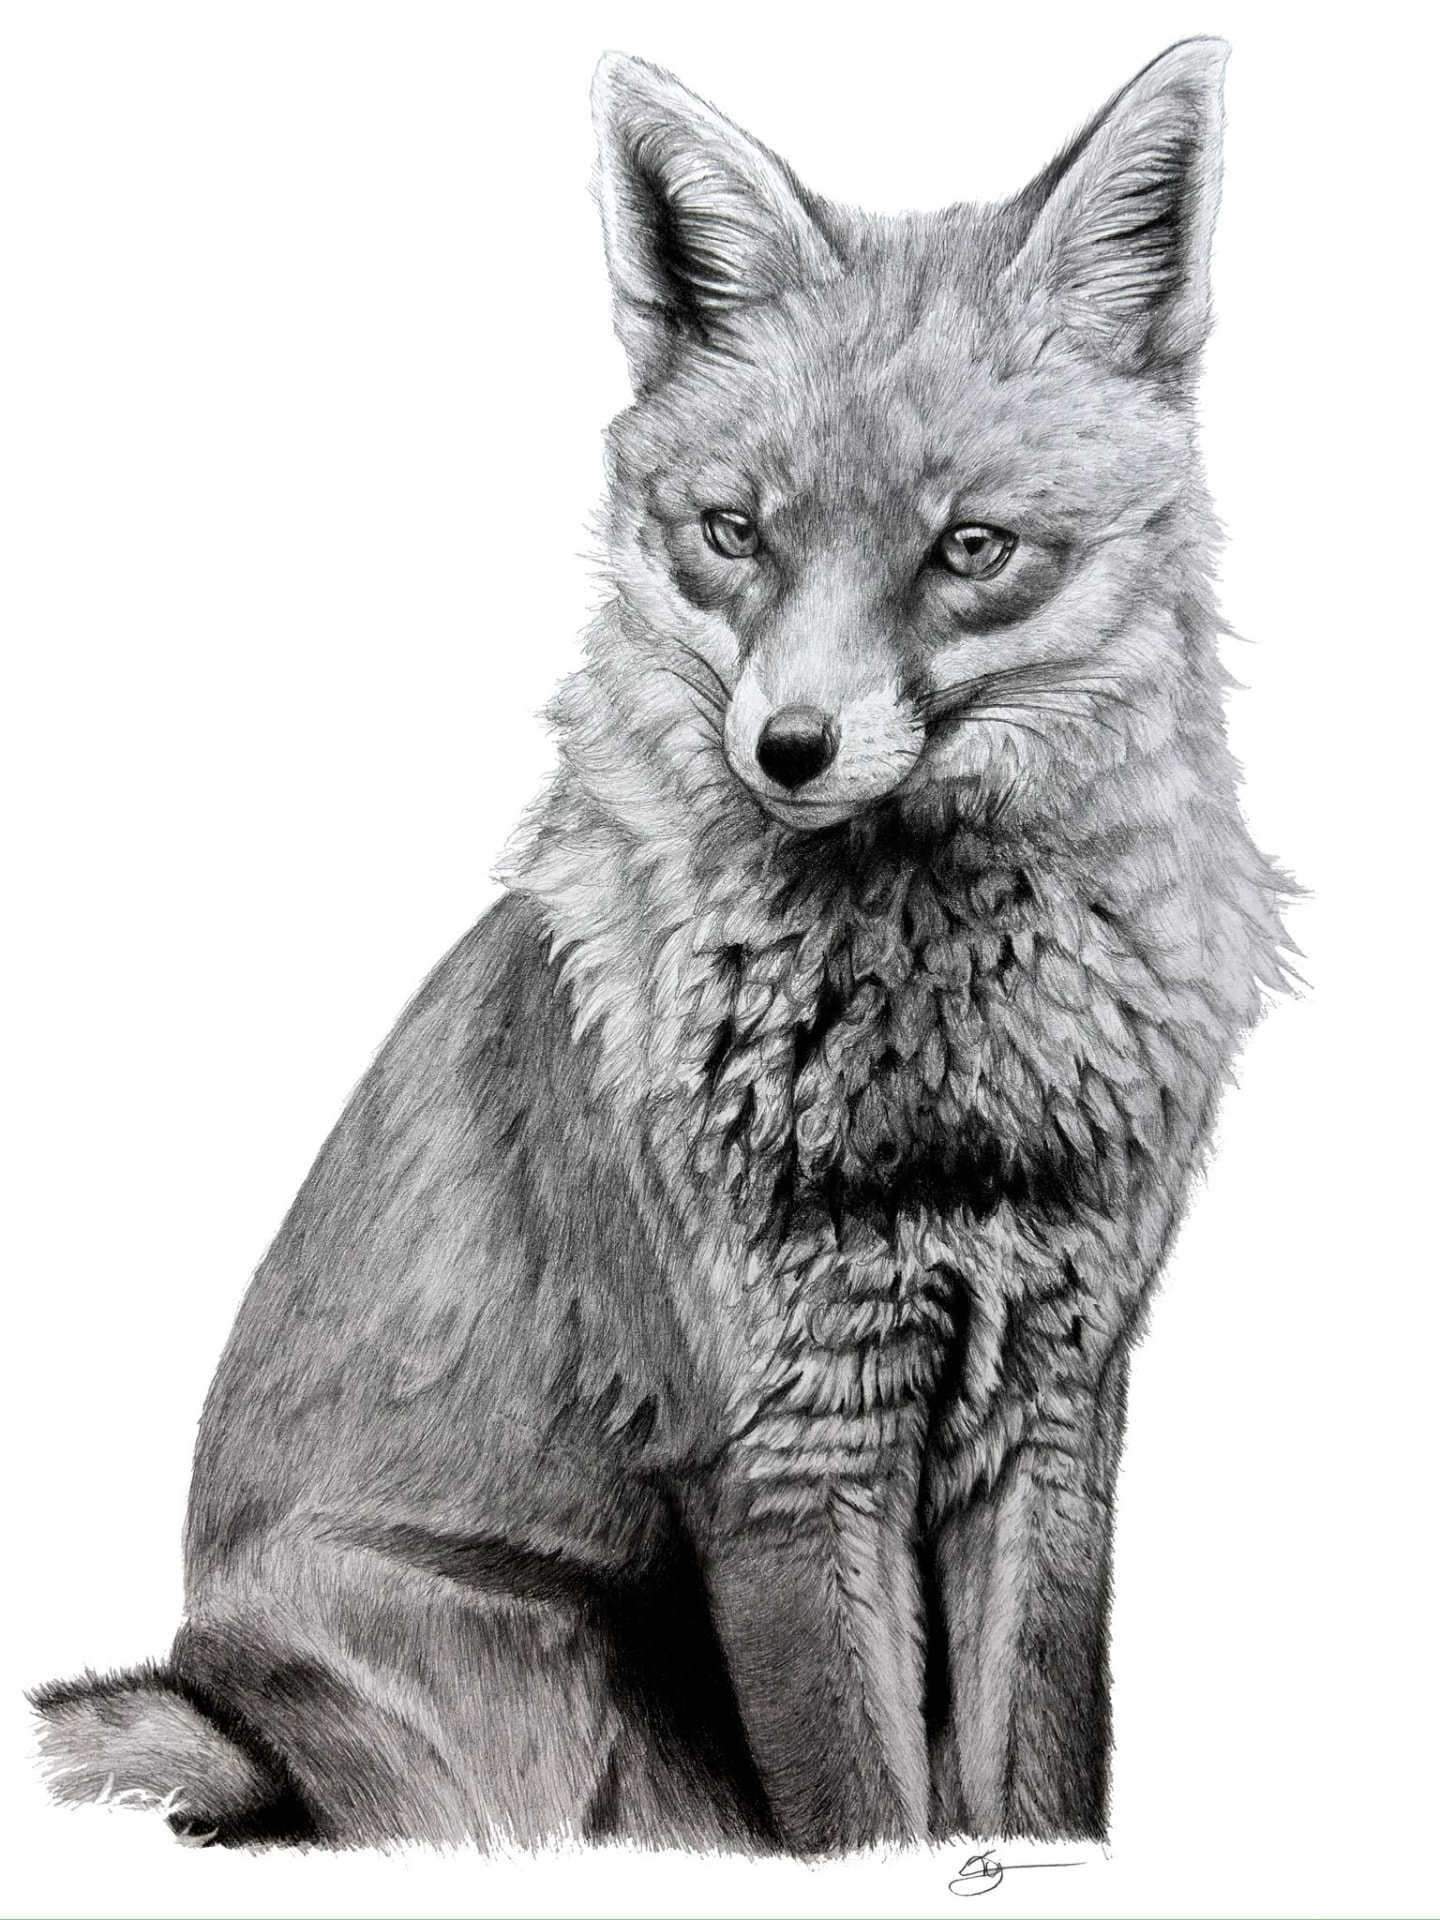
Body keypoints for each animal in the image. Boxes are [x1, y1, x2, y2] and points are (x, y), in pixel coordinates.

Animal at [32, 41, 1291, 1855]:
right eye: (734, 532)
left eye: (970, 548)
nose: (791, 748)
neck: (939, 1092)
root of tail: (223, 1695)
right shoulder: (779, 1444)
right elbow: (864, 1809)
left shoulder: (1055, 1411)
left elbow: (1039, 1773)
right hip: (560, 1736)